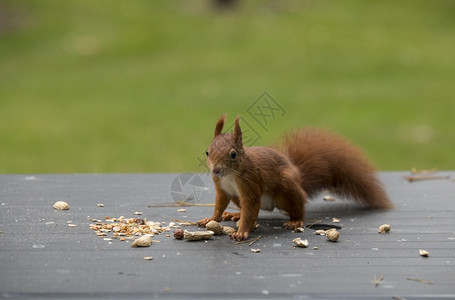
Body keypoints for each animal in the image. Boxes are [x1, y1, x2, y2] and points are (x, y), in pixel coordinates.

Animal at [198, 115, 394, 241]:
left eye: (233, 154)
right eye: (207, 152)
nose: (216, 170)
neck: (230, 175)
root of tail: (299, 177)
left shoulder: (250, 182)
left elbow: (251, 206)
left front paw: (241, 232)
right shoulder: (222, 188)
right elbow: (220, 204)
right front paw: (211, 219)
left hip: (287, 186)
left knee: (296, 207)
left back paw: (295, 220)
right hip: (237, 197)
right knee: (252, 210)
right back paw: (235, 213)